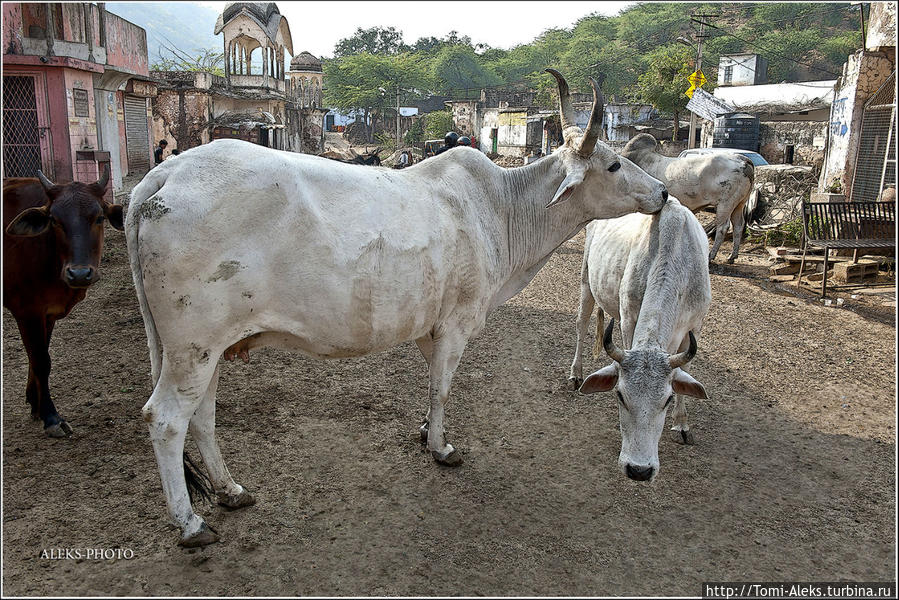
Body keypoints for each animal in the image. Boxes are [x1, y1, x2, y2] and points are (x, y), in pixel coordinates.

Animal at [3, 166, 123, 438]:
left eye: (99, 217)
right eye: (55, 220)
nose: (79, 274)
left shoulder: (46, 313)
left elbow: (37, 355)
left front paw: (35, 403)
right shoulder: (27, 311)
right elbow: (41, 360)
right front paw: (51, 416)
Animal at [125, 70, 668, 548]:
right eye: (613, 164)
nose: (663, 192)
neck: (502, 208)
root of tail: (165, 174)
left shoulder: (431, 326)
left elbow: (432, 385)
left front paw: (426, 432)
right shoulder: (457, 323)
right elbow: (443, 388)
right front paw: (441, 447)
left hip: (207, 347)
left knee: (202, 416)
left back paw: (230, 490)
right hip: (192, 346)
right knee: (166, 419)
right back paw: (190, 523)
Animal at [568, 197, 712, 482]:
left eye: (668, 399)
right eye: (620, 395)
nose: (639, 470)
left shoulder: (696, 325)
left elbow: (685, 370)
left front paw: (681, 424)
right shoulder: (628, 318)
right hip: (587, 278)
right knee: (581, 323)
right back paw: (576, 373)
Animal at [624, 135, 756, 264]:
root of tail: (743, 159)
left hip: (725, 204)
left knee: (723, 228)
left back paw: (711, 256)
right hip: (739, 204)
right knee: (738, 226)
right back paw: (732, 256)